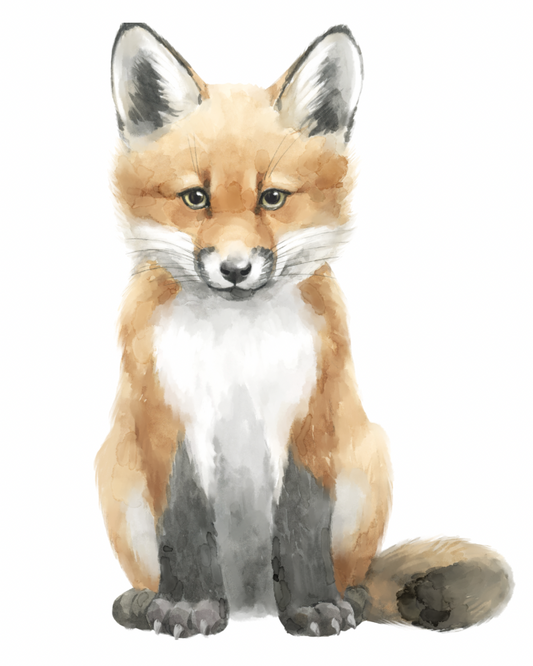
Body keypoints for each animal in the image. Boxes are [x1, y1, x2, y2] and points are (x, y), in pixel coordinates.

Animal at [96, 22, 513, 638]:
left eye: (272, 198)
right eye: (196, 198)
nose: (236, 269)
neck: (237, 349)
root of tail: (251, 605)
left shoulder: (312, 418)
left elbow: (300, 524)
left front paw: (314, 606)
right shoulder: (167, 419)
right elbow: (187, 526)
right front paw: (189, 606)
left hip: (368, 458)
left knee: (356, 576)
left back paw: (346, 598)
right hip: (117, 471)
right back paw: (146, 601)